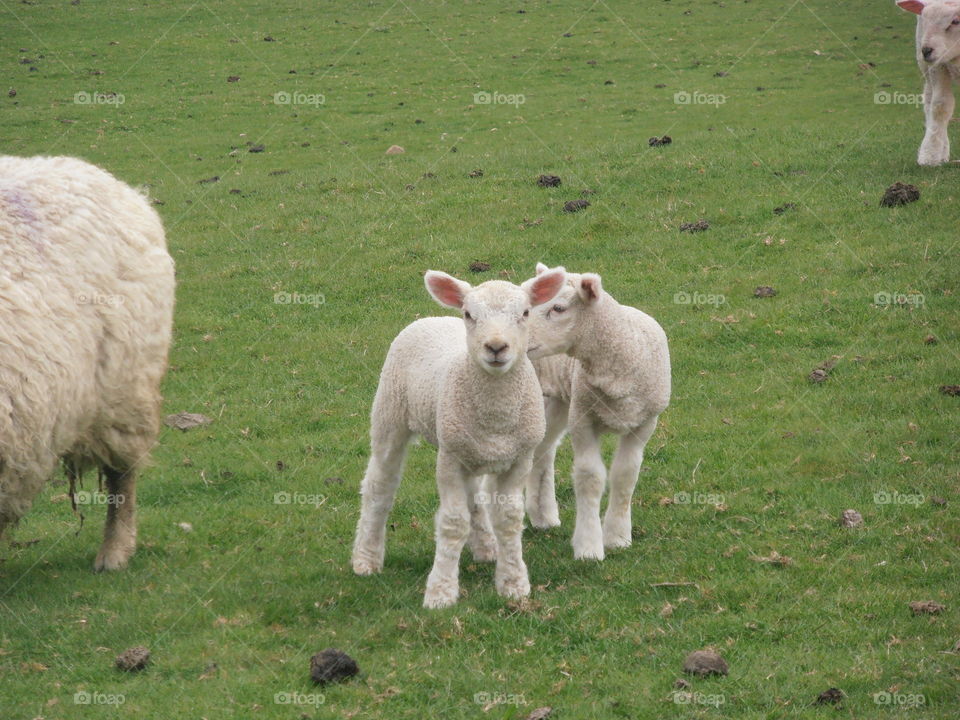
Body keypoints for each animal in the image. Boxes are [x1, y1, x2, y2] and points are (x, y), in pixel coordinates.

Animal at [352, 268, 568, 608]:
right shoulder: (449, 460)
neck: (496, 416)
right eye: (469, 314)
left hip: (467, 447)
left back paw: (486, 548)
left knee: (474, 496)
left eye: (524, 313)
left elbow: (508, 519)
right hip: (390, 414)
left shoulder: (519, 459)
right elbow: (453, 523)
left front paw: (513, 583)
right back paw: (366, 559)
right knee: (379, 486)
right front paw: (441, 591)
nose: (496, 347)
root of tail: (430, 317)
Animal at [520, 264, 672, 564]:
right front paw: (589, 546)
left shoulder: (645, 423)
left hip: (556, 401)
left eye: (558, 308)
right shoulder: (583, 418)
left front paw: (618, 536)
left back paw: (543, 515)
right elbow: (590, 478)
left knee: (543, 451)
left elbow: (625, 474)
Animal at [896, 0, 960, 165]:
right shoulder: (938, 66)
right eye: (925, 19)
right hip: (926, 69)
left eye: (956, 21)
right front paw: (930, 156)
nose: (926, 51)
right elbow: (941, 106)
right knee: (930, 102)